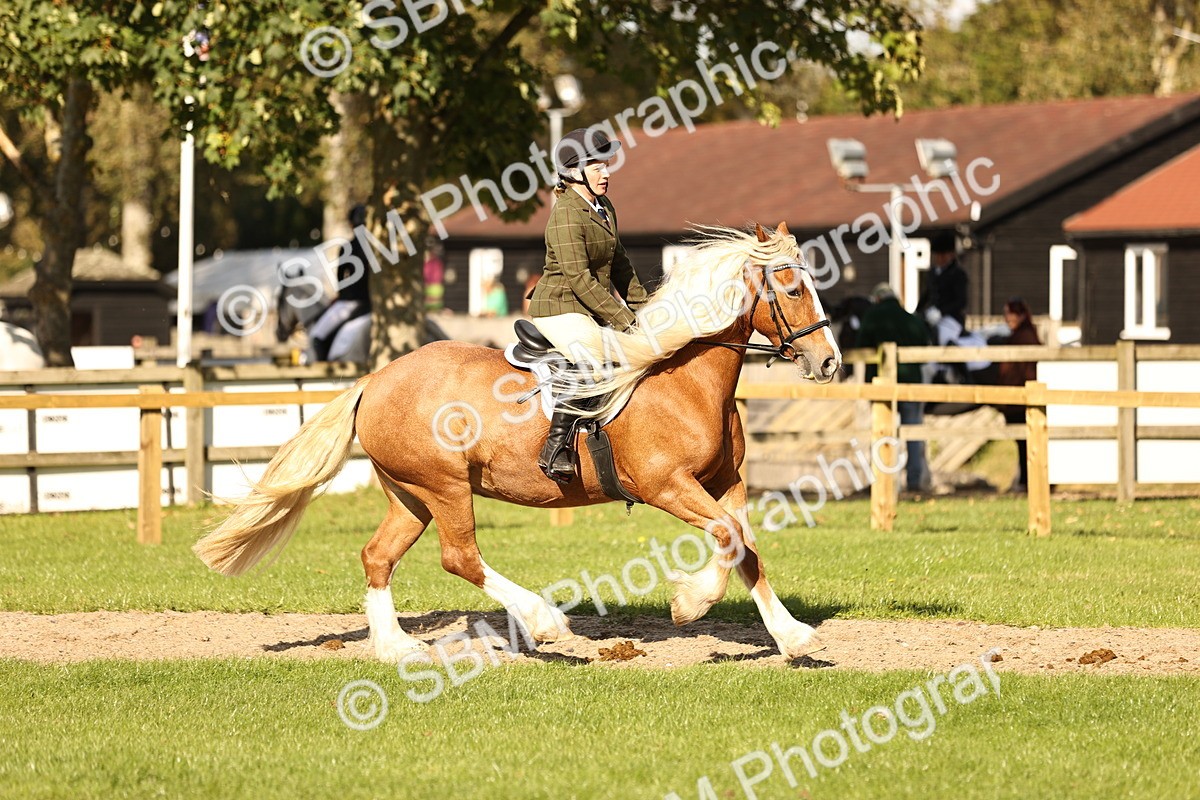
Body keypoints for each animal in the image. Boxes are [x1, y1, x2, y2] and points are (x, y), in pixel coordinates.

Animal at [195, 222, 842, 662]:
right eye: (791, 290)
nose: (830, 362)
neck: (681, 374)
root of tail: (375, 380)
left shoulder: (724, 482)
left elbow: (744, 546)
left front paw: (789, 636)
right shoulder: (667, 485)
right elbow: (730, 537)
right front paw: (692, 603)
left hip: (410, 495)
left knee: (378, 556)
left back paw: (397, 648)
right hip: (445, 486)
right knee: (460, 557)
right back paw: (546, 622)